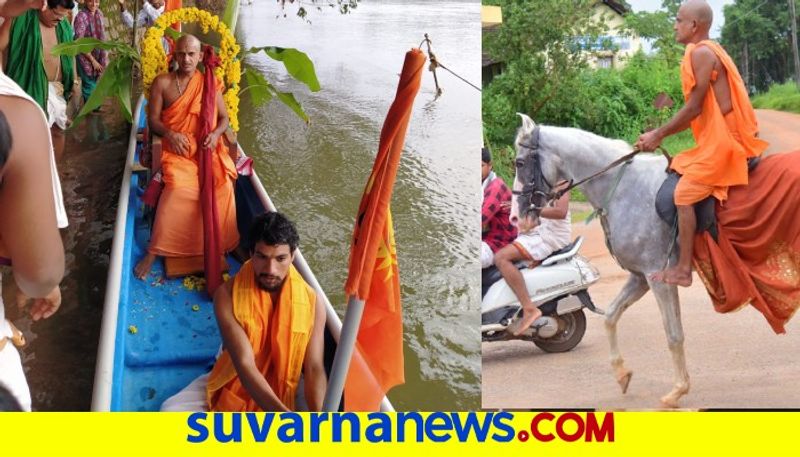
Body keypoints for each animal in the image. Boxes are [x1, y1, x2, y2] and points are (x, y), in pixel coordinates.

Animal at [516, 113, 692, 406]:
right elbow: (610, 316)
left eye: (519, 163)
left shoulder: (657, 276)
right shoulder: (640, 277)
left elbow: (674, 334)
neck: (623, 188)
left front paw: (678, 389)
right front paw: (622, 373)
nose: (518, 218)